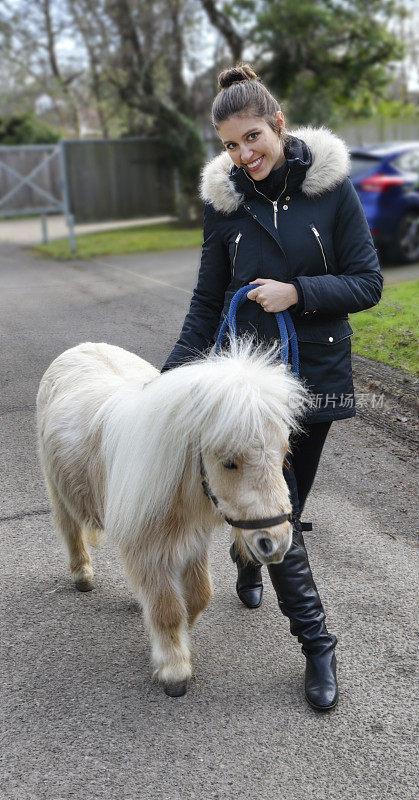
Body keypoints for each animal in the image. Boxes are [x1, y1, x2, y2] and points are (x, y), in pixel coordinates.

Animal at [37, 340, 306, 696]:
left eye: (285, 456)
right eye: (229, 462)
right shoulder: (149, 547)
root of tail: (82, 347)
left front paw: (178, 641)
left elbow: (198, 596)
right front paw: (174, 667)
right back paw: (82, 574)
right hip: (57, 488)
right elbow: (167, 609)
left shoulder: (192, 541)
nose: (275, 543)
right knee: (69, 529)